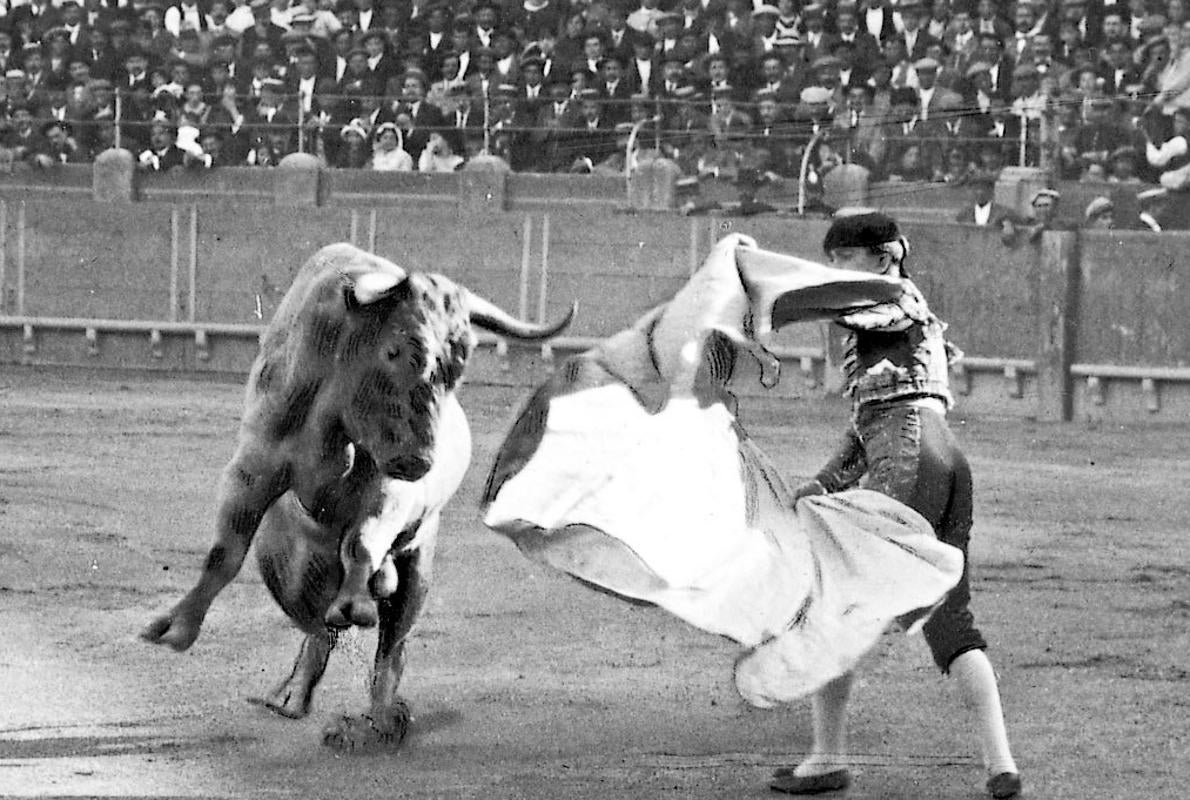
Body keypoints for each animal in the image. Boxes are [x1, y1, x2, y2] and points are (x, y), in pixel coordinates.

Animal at [141, 244, 578, 752]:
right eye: (394, 349)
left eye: (460, 363)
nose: (421, 459)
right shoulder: (252, 467)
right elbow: (223, 554)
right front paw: (175, 628)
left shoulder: (390, 493)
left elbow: (362, 545)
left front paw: (358, 604)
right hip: (283, 565)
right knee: (317, 630)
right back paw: (291, 697)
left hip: (418, 565)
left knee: (389, 642)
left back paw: (383, 716)